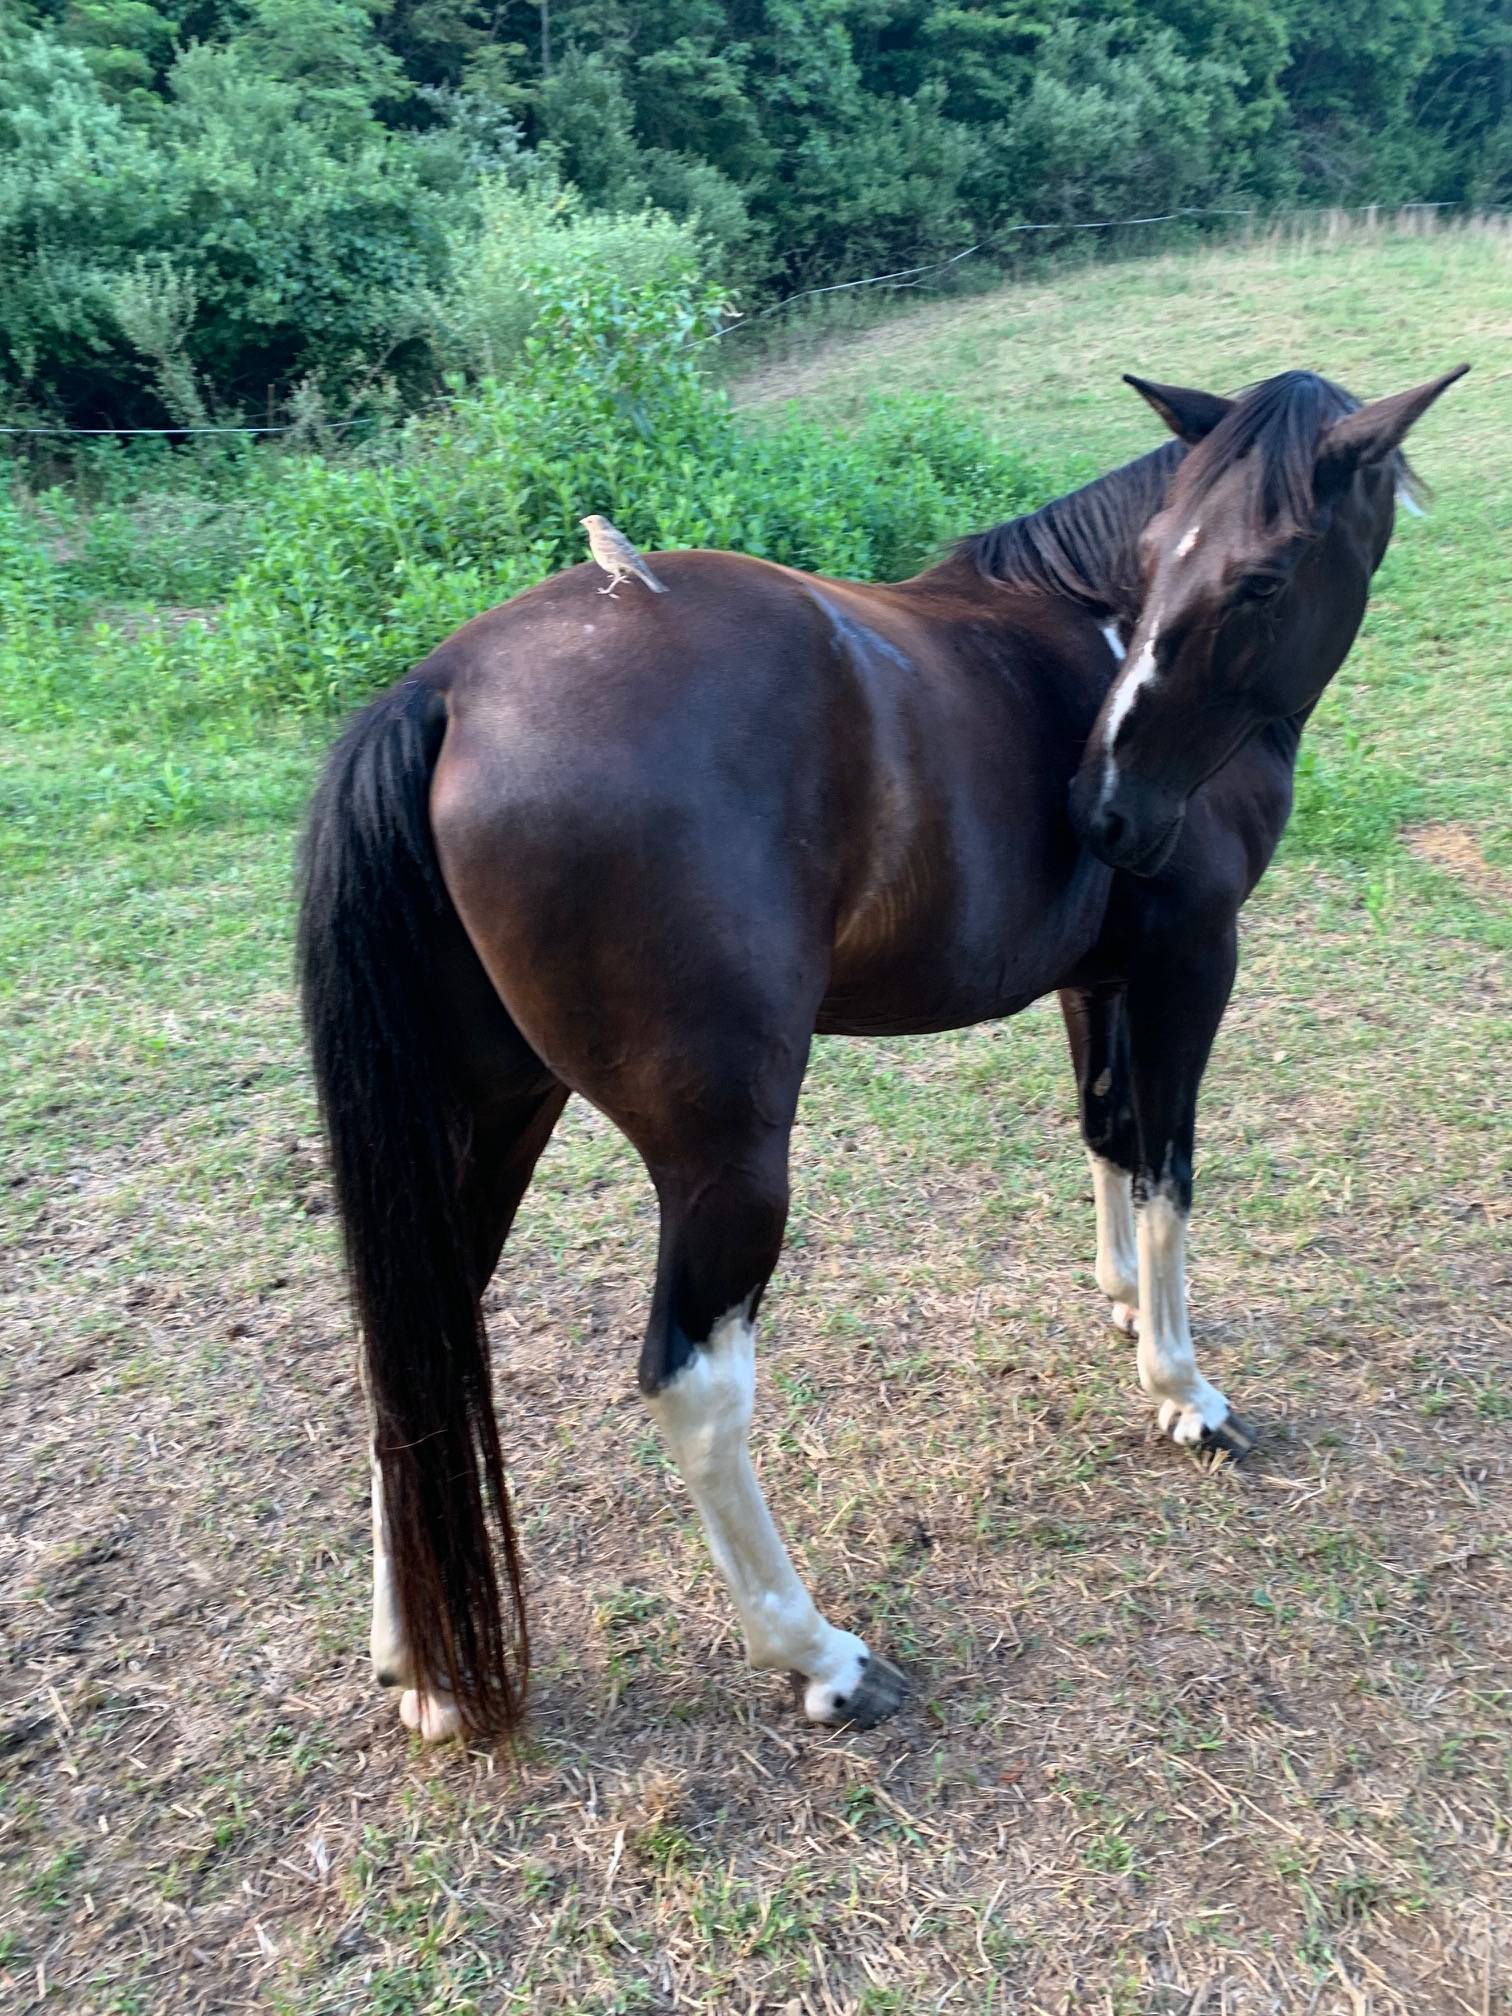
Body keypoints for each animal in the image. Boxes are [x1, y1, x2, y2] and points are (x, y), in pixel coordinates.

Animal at [298, 363, 1466, 1744]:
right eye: (1169, 562)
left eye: (1259, 577)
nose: (1103, 808)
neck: (1085, 633)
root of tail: (449, 687)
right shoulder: (1192, 962)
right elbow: (1169, 1167)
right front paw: (1182, 1386)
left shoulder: (1100, 979)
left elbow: (1107, 1135)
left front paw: (1124, 1303)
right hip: (724, 1161)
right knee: (692, 1389)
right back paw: (819, 1654)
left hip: (489, 1116)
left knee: (417, 1344)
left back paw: (420, 1664)